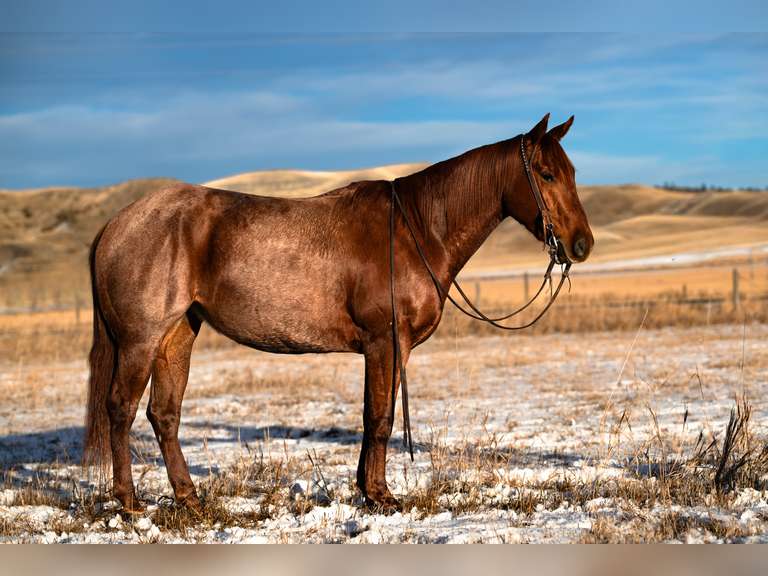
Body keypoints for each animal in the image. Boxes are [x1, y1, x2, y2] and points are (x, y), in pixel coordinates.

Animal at [83, 113, 593, 512]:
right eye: (546, 174)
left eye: (571, 171)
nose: (581, 244)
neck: (414, 229)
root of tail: (116, 224)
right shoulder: (385, 342)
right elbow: (380, 418)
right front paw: (382, 495)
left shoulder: (387, 348)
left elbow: (373, 415)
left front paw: (367, 490)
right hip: (140, 340)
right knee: (121, 409)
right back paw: (129, 501)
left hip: (177, 336)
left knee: (164, 414)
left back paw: (189, 498)